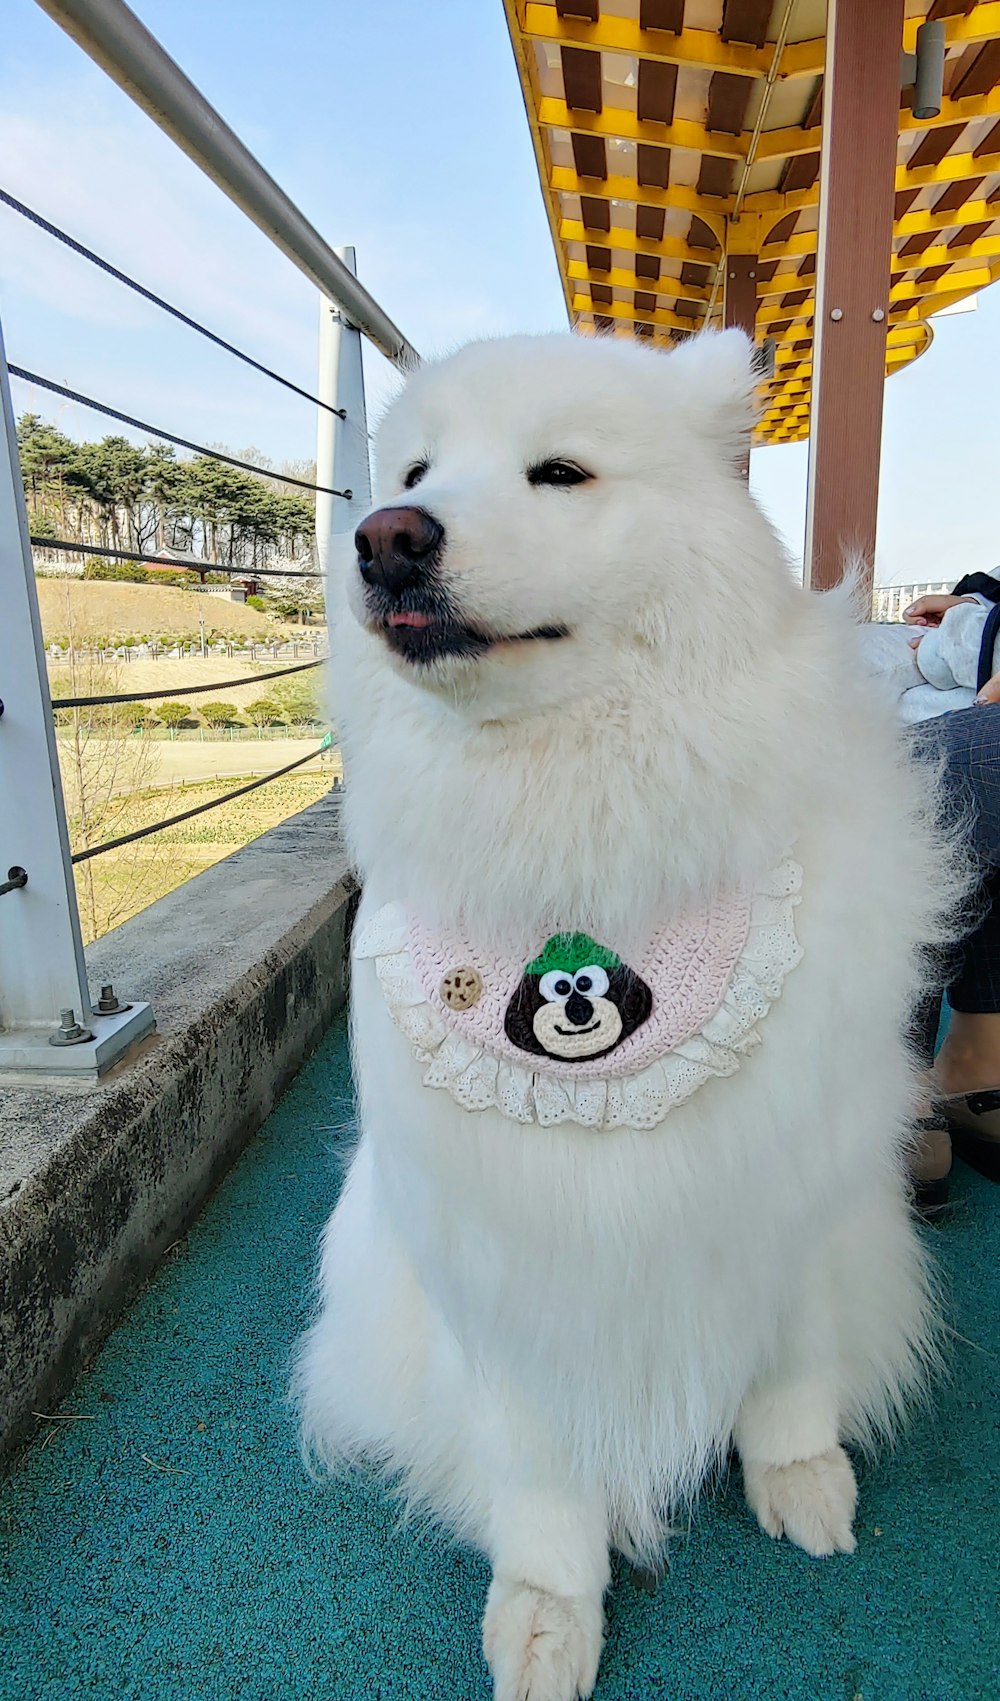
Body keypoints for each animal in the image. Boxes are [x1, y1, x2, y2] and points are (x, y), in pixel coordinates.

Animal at [294, 331, 945, 1701]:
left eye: (560, 473)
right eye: (416, 474)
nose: (386, 537)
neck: (580, 837)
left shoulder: (791, 1195)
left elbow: (793, 1374)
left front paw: (799, 1477)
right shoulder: (508, 1259)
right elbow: (542, 1474)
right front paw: (550, 1610)